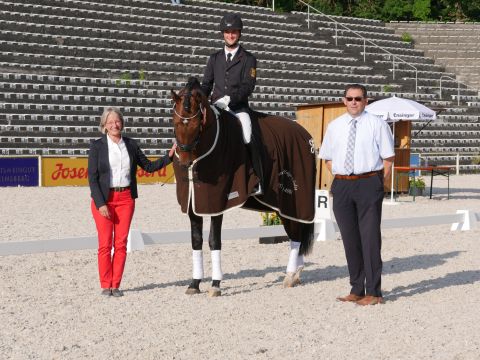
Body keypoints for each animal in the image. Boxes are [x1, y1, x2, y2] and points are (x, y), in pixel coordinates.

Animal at [171, 77, 316, 296]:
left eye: (197, 123)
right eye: (175, 122)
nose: (185, 162)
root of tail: (305, 135)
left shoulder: (218, 203)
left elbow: (214, 240)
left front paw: (215, 285)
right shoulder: (193, 204)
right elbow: (196, 240)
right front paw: (194, 284)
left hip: (293, 203)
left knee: (296, 235)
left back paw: (290, 276)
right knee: (295, 235)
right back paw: (296, 274)